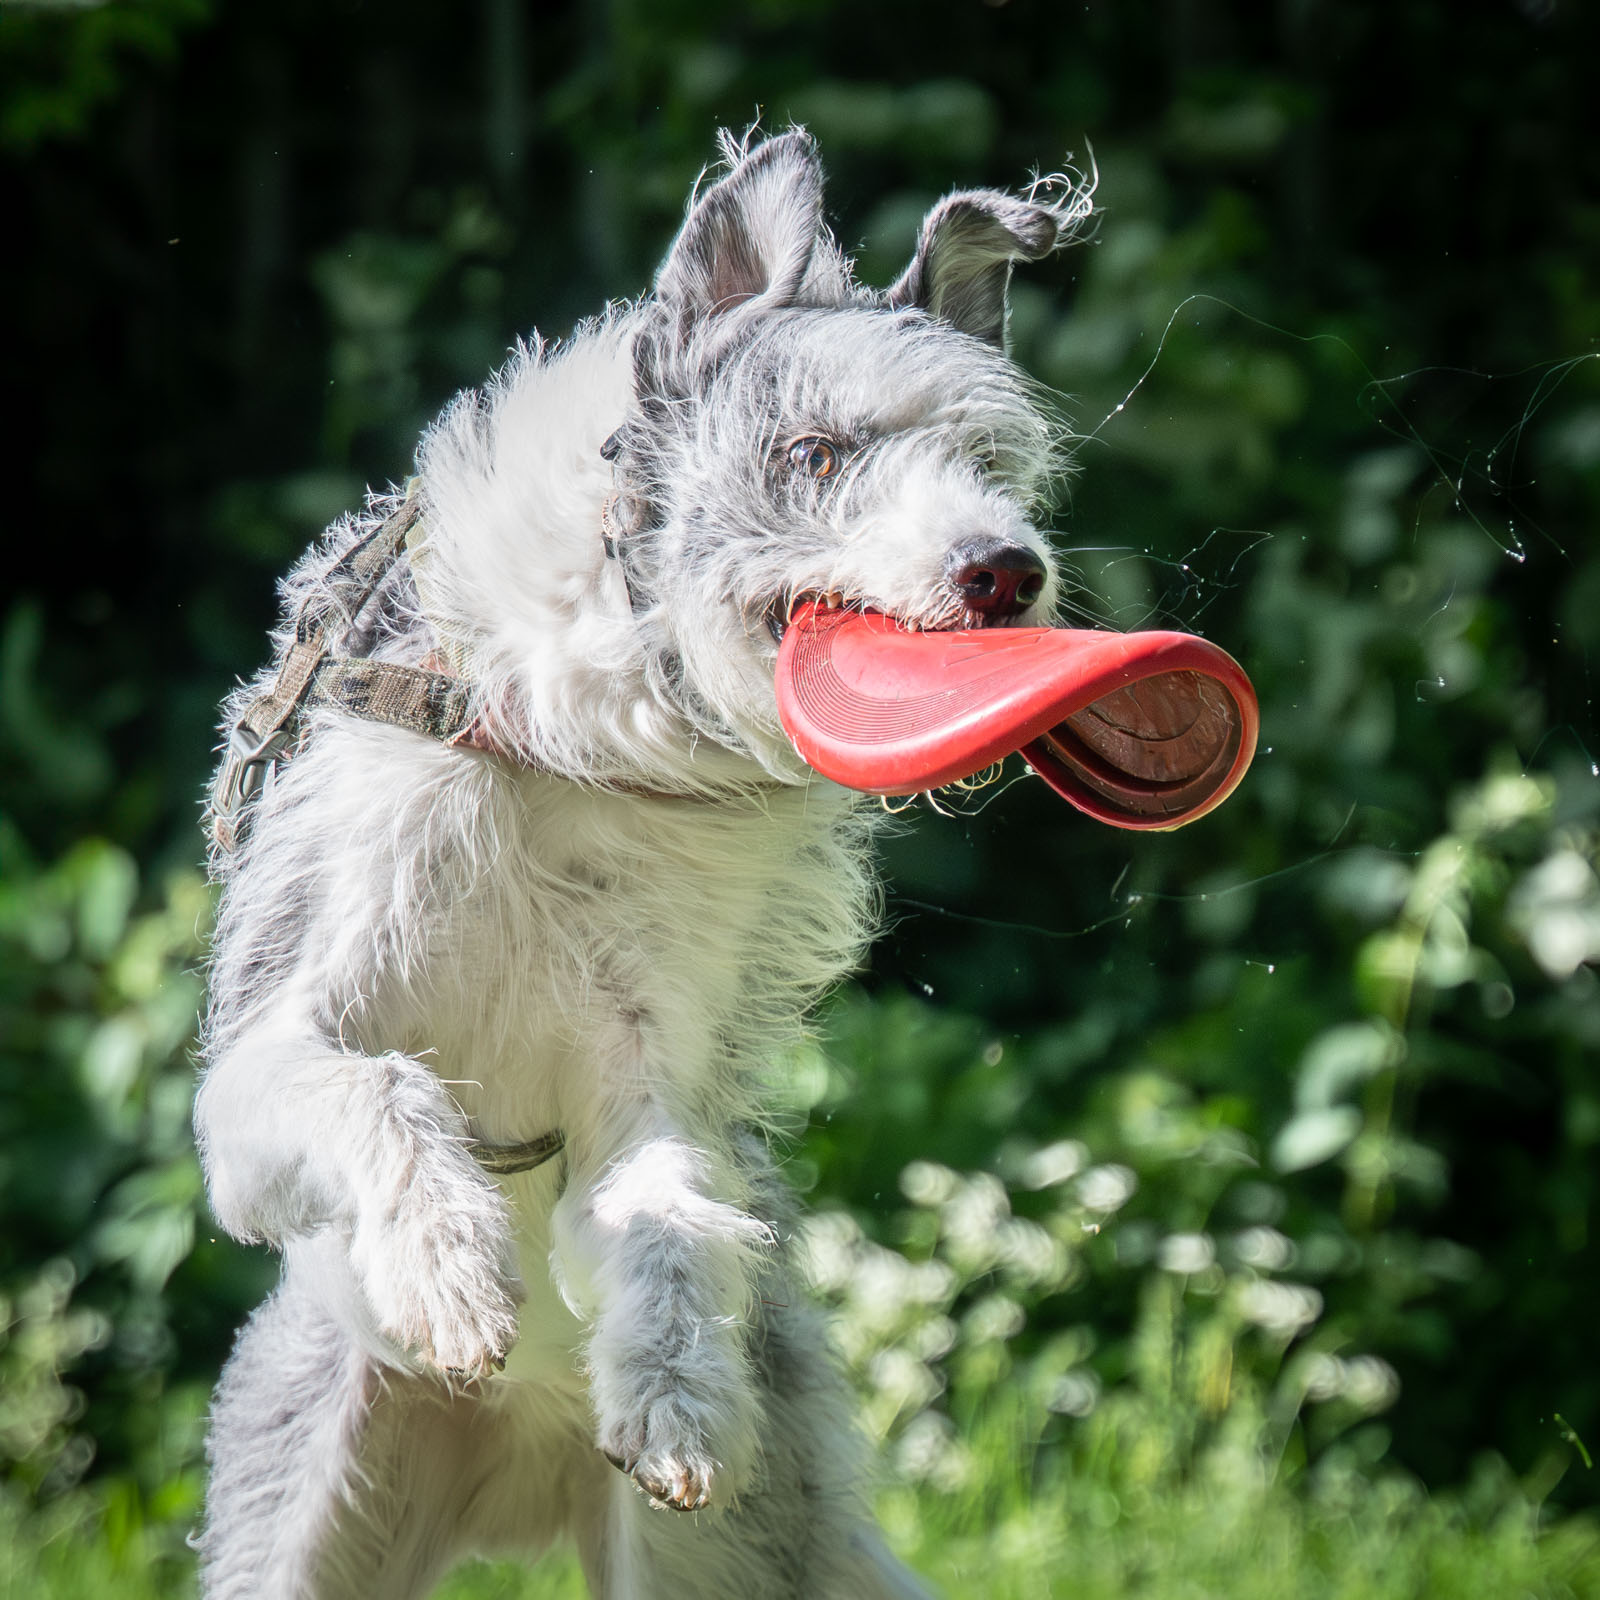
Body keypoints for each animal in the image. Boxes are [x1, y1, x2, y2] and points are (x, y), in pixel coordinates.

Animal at [194, 127, 1092, 1599]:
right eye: (813, 453)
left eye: (988, 462)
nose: (1004, 570)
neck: (590, 737)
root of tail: (512, 1477)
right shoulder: (263, 1060)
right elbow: (375, 1089)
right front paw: (451, 1269)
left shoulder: (651, 1063)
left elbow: (668, 1212)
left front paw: (671, 1397)